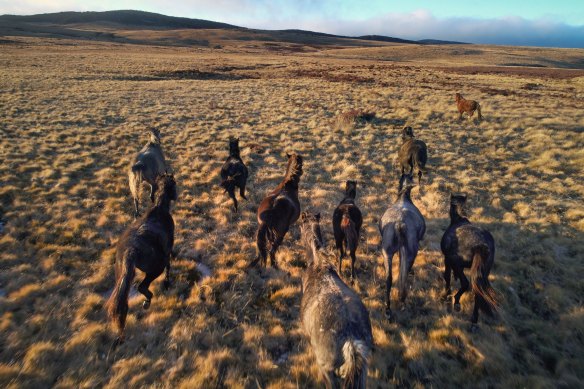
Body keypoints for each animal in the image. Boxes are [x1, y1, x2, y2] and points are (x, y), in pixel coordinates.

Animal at [105, 173, 177, 346]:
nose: (177, 195)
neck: (159, 209)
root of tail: (130, 251)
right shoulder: (167, 250)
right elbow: (169, 265)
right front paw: (167, 282)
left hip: (120, 275)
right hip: (155, 268)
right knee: (142, 287)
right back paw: (147, 302)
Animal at [378, 173, 424, 318]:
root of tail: (399, 223)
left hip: (387, 252)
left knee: (388, 278)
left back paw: (388, 308)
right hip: (410, 253)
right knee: (404, 275)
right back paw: (402, 300)